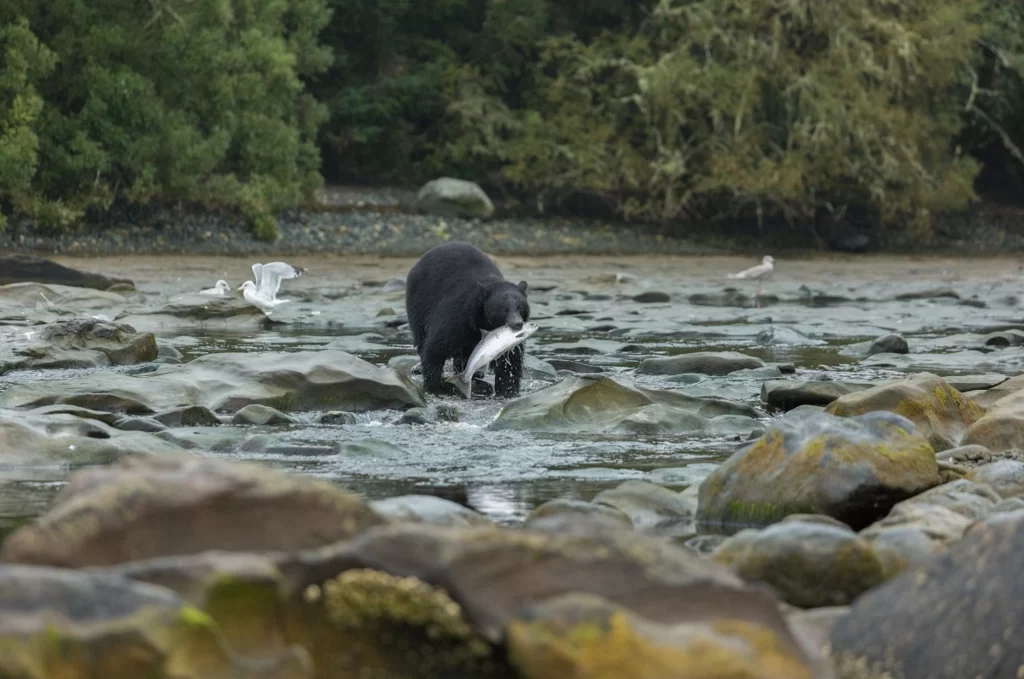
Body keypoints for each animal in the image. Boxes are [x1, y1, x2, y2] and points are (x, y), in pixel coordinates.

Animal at [405, 242, 530, 398]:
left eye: (520, 307)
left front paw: (508, 391)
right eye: (504, 309)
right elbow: (436, 348)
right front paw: (433, 387)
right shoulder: (459, 315)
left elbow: (510, 362)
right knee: (421, 335)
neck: (482, 320)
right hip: (419, 302)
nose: (517, 324)